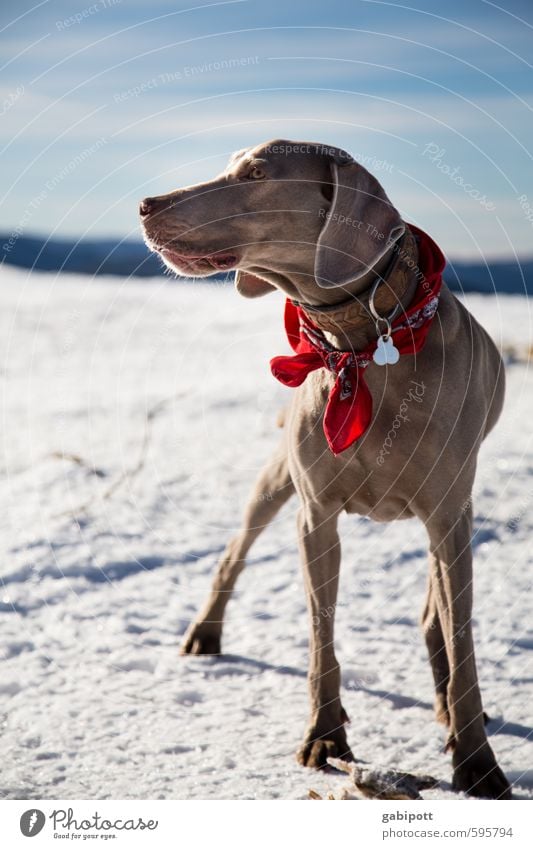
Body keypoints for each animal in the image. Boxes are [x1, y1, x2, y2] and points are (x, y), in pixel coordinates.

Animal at [139, 137, 510, 796]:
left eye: (256, 174)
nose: (145, 204)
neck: (363, 340)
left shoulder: (449, 515)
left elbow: (462, 639)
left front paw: (478, 763)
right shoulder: (316, 514)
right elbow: (320, 634)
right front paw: (325, 737)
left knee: (435, 612)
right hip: (276, 478)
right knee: (234, 551)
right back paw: (206, 632)